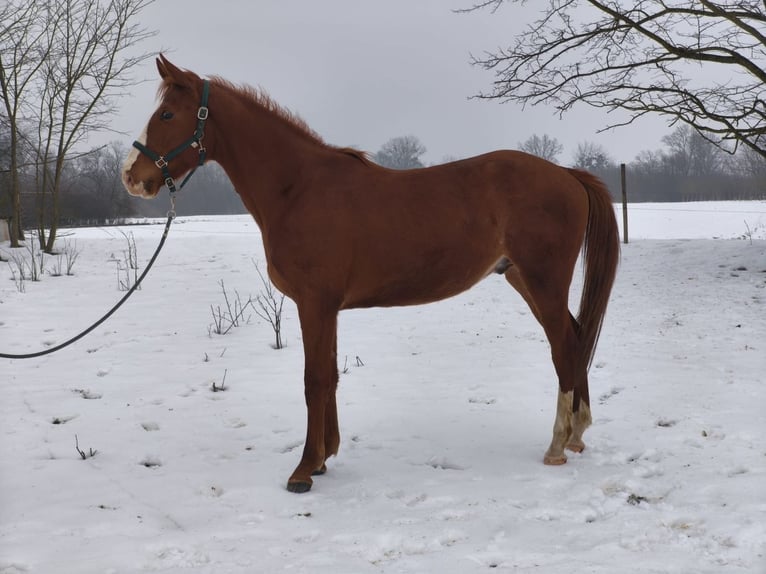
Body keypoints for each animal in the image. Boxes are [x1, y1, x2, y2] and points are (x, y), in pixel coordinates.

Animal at [122, 55, 620, 493]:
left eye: (167, 113)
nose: (131, 176)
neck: (297, 188)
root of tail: (566, 174)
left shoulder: (315, 304)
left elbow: (315, 380)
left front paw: (303, 470)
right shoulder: (326, 308)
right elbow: (330, 376)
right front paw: (324, 458)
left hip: (543, 281)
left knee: (565, 347)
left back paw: (557, 445)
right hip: (523, 279)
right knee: (575, 339)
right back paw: (577, 435)